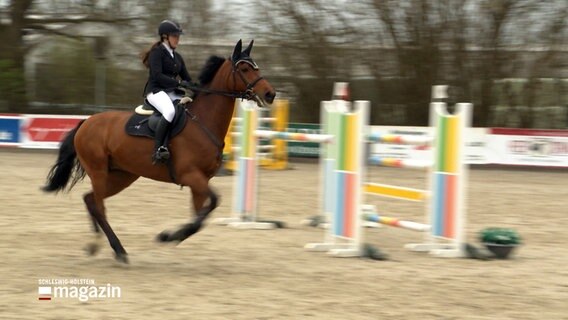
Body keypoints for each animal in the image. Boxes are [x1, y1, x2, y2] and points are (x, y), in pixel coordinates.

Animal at [41, 40, 276, 264]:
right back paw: (118, 250)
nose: (270, 94)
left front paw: (172, 235)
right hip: (98, 171)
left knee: (90, 200)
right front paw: (168, 236)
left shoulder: (200, 181)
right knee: (99, 206)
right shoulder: (191, 176)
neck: (203, 122)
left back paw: (95, 245)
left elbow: (199, 217)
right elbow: (211, 205)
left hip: (121, 176)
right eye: (244, 69)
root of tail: (86, 122)